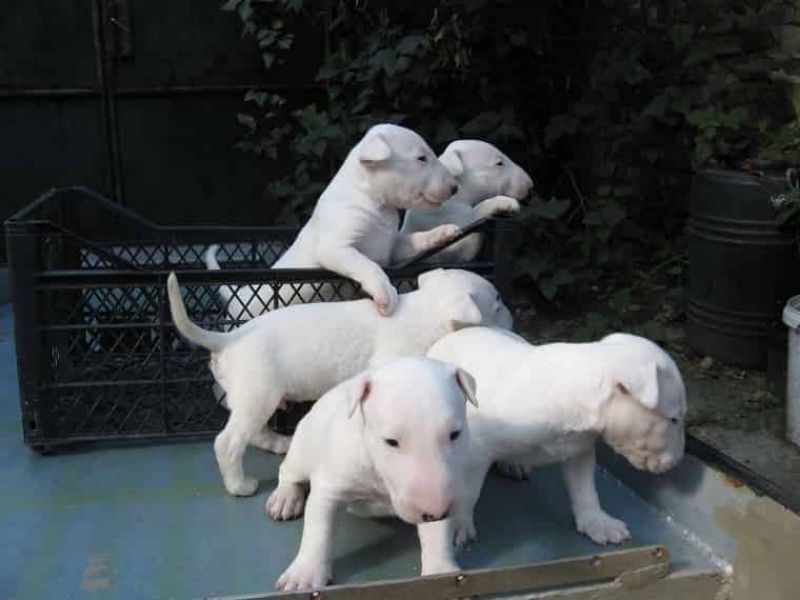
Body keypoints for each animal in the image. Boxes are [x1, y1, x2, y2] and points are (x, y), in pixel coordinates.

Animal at [166, 268, 512, 496]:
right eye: (497, 301)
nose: (512, 318)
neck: (425, 311)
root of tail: (227, 339)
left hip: (256, 399)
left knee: (253, 433)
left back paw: (278, 443)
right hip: (258, 395)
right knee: (228, 442)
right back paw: (239, 485)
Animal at [206, 123, 461, 321]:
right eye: (421, 158)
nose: (454, 188)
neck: (372, 201)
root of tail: (240, 295)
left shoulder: (392, 249)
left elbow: (414, 240)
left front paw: (445, 232)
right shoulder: (336, 246)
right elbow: (367, 264)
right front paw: (384, 293)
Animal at [265, 356, 475, 590]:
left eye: (455, 434)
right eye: (391, 441)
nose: (435, 512)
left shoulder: (447, 483)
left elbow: (438, 531)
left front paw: (440, 573)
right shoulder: (330, 485)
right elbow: (318, 529)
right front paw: (304, 576)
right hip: (303, 449)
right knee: (288, 472)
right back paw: (285, 498)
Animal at [427, 328, 687, 547]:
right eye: (674, 419)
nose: (678, 461)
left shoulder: (579, 450)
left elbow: (585, 489)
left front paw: (597, 523)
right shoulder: (474, 452)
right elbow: (467, 492)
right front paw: (457, 524)